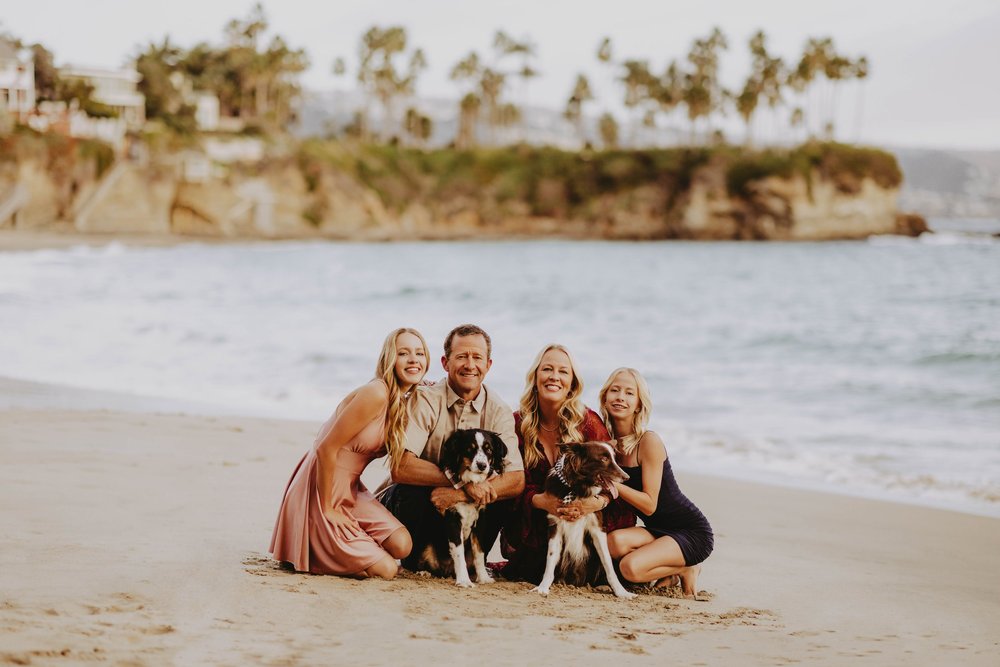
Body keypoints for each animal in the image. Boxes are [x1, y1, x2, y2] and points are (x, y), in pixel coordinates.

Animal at [414, 430, 508, 588]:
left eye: (489, 449)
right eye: (470, 449)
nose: (482, 465)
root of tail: (446, 571)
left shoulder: (480, 521)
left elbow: (479, 553)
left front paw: (483, 578)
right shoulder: (453, 519)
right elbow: (459, 553)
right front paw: (464, 580)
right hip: (425, 545)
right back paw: (422, 572)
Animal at [532, 444, 632, 600]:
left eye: (614, 458)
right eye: (604, 459)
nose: (627, 477)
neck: (577, 488)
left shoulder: (598, 529)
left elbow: (607, 562)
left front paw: (621, 591)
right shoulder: (555, 527)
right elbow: (551, 559)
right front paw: (543, 587)